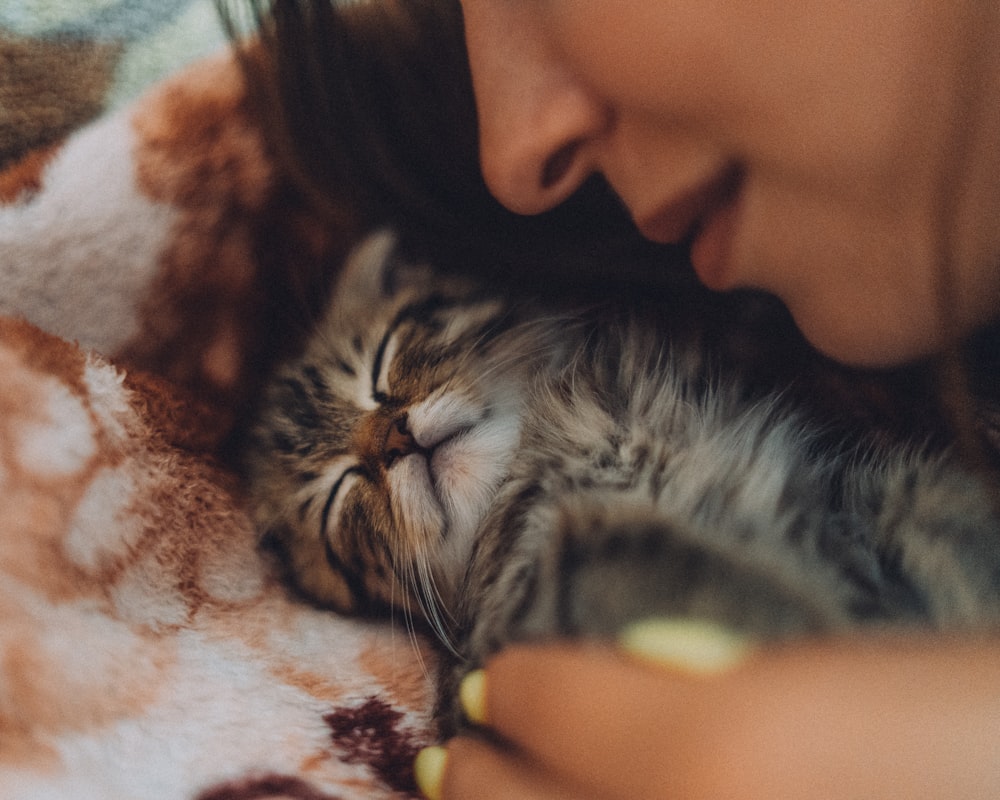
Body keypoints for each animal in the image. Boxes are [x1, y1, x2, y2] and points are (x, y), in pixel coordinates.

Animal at [242, 231, 1000, 676]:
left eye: (383, 361)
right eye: (340, 496)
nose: (394, 440)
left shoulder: (852, 483)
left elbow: (933, 518)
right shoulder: (491, 650)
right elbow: (606, 552)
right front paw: (803, 619)